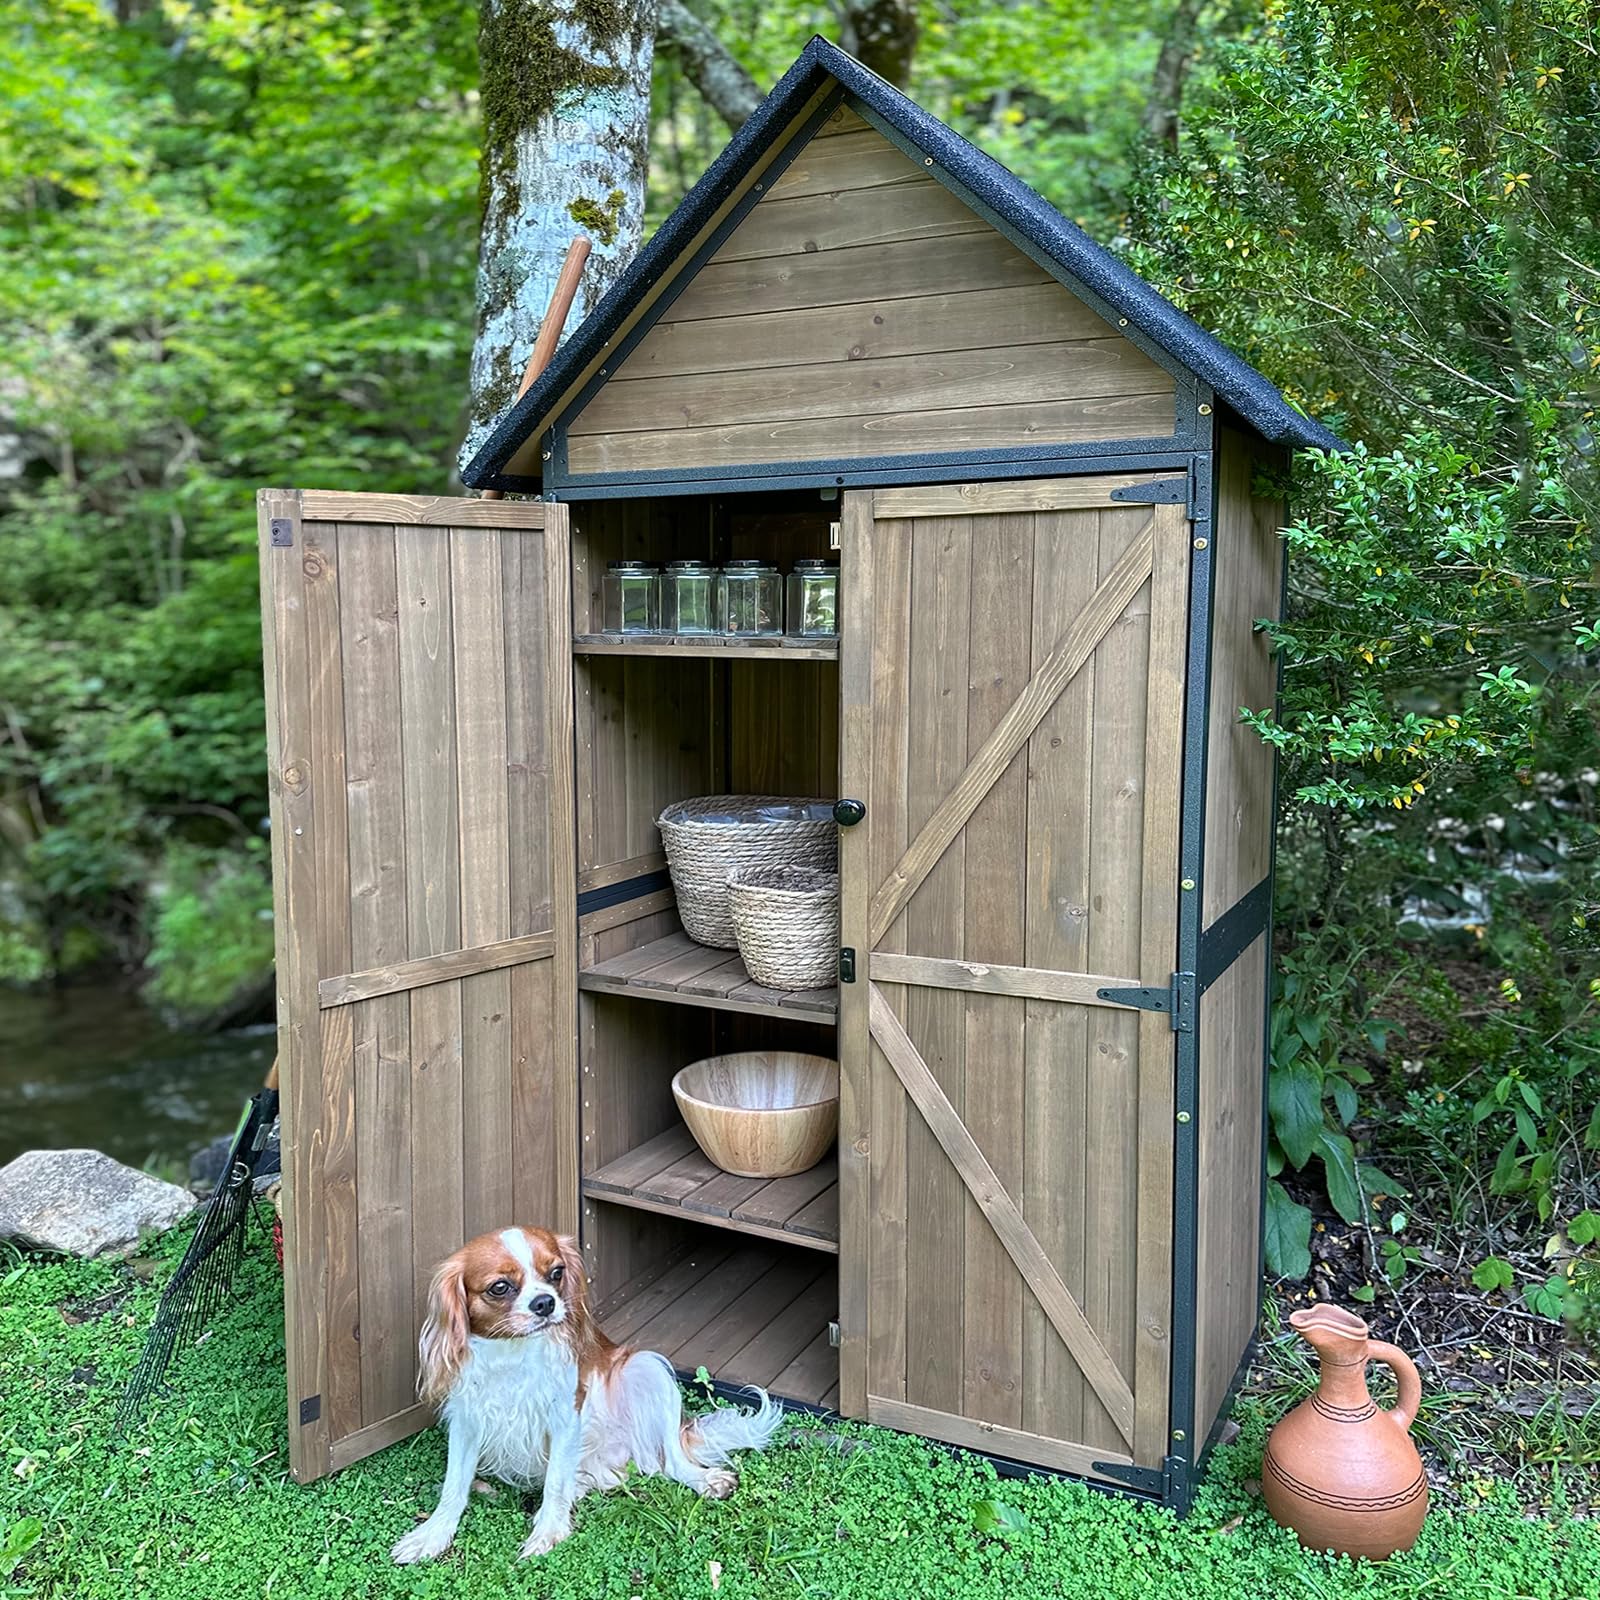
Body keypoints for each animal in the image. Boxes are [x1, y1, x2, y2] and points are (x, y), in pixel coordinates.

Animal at [393, 1222, 780, 1561]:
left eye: (556, 1273)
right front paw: (433, 1535)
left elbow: (554, 1483)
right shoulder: (467, 1421)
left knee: (669, 1460)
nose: (545, 1302)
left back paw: (706, 1479)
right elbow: (453, 1486)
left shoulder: (566, 1418)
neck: (513, 1353)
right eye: (500, 1287)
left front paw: (548, 1532)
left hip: (648, 1369)